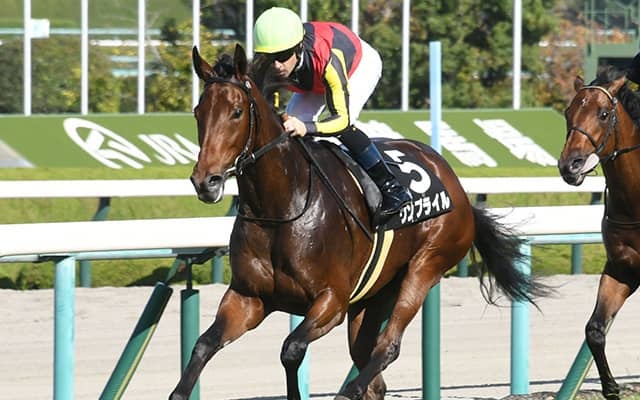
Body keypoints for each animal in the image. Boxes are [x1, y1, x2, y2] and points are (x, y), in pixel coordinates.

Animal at [169, 43, 549, 400]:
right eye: (198, 112)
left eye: (236, 112)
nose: (206, 181)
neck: (279, 208)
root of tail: (457, 186)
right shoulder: (247, 298)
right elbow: (204, 345)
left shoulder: (331, 301)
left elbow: (291, 349)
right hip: (372, 298)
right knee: (372, 371)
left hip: (426, 266)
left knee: (387, 347)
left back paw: (348, 390)